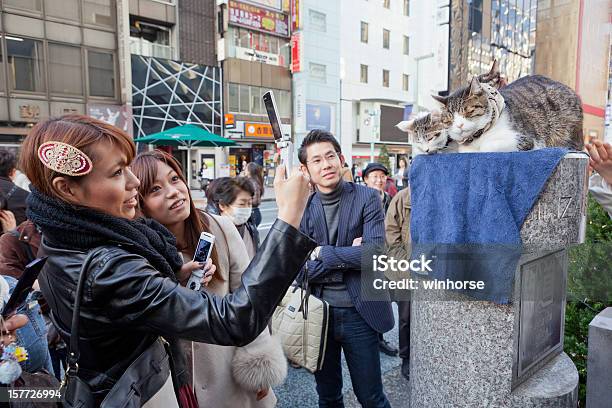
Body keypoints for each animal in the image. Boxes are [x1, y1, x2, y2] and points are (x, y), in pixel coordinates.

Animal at [432, 74, 584, 152]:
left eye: (468, 111)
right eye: (449, 120)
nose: (459, 125)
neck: (476, 138)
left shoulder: (525, 139)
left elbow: (487, 146)